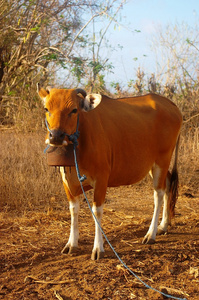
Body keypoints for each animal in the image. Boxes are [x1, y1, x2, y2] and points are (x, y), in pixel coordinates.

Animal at [37, 85, 182, 260]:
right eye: (46, 109)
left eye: (74, 110)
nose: (56, 136)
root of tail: (172, 106)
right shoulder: (67, 180)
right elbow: (73, 210)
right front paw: (71, 244)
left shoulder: (101, 178)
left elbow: (97, 212)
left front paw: (98, 248)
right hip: (153, 164)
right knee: (168, 185)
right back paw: (163, 226)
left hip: (162, 160)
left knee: (158, 193)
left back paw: (151, 234)